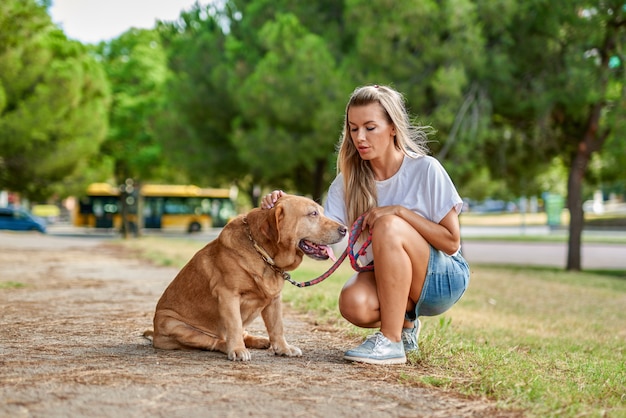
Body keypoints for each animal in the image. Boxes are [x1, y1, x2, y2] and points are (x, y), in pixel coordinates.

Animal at [146, 194, 346, 360]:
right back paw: (230, 346)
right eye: (313, 213)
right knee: (216, 340)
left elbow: (277, 327)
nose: (345, 229)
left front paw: (283, 348)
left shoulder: (274, 299)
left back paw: (260, 341)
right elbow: (234, 325)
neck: (264, 254)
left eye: (321, 212)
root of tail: (155, 335)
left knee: (244, 333)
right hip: (173, 324)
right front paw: (237, 349)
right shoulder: (228, 295)